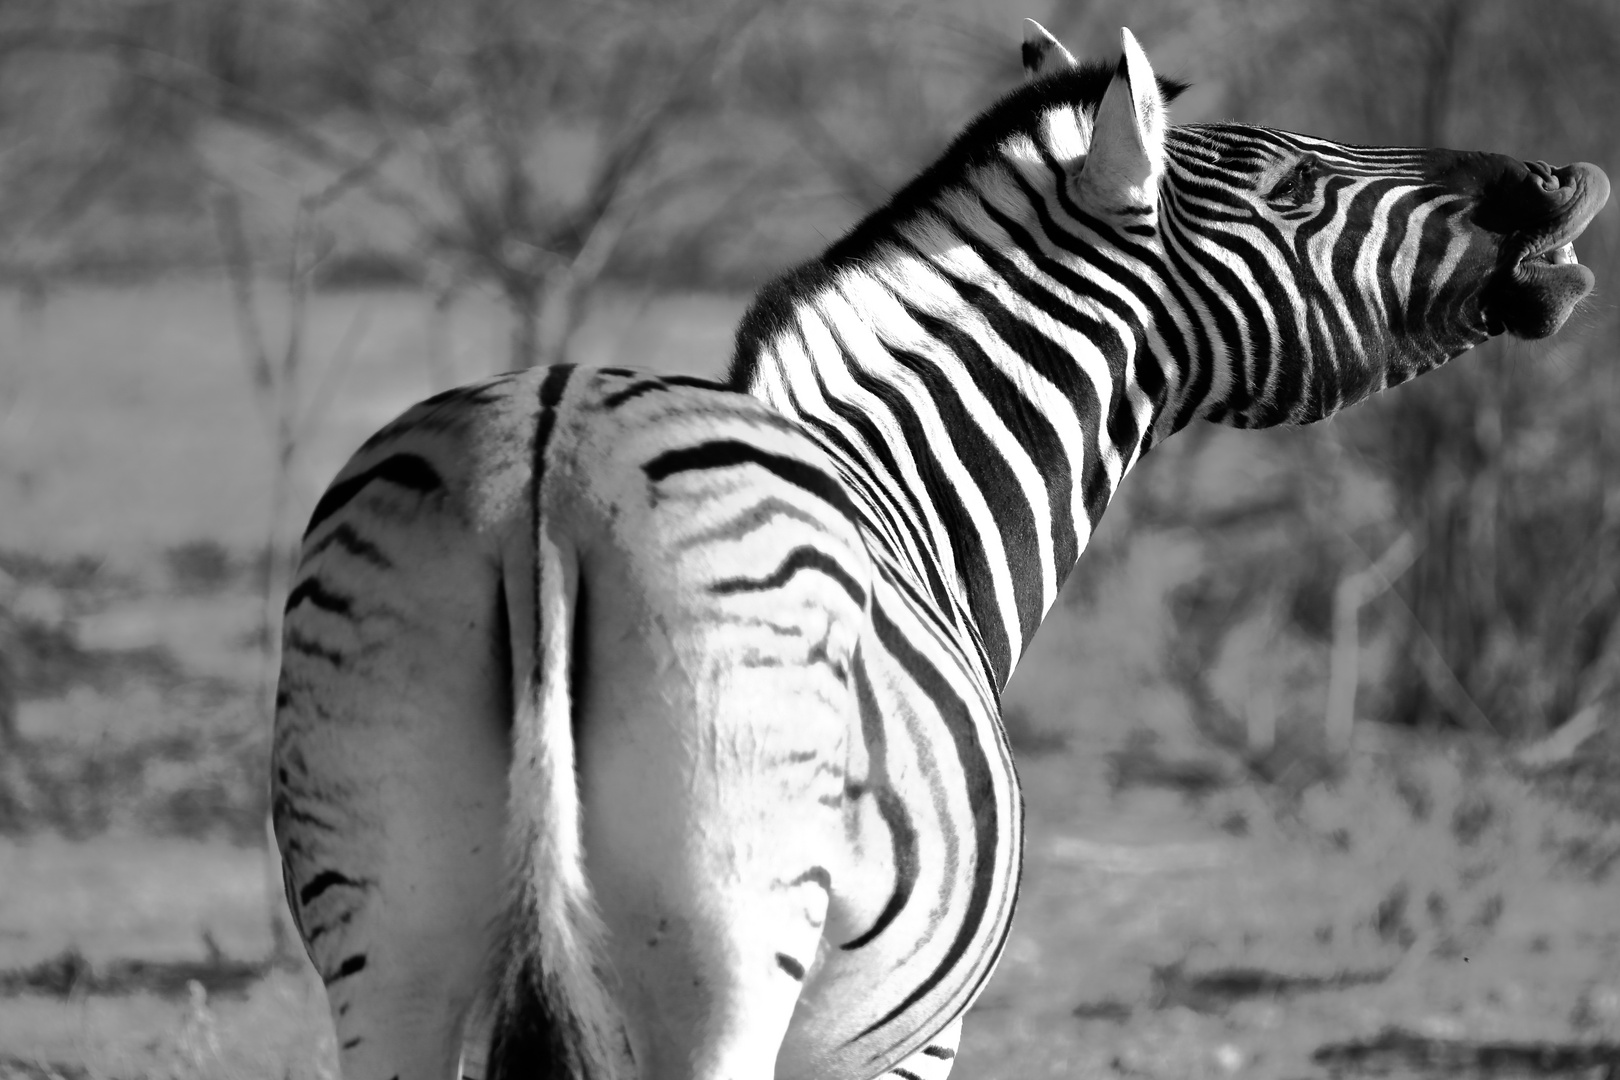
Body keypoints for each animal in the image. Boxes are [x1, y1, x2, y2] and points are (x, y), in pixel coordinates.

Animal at [268, 16, 1607, 1080]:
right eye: (1288, 187)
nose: (1562, 176)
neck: (914, 486)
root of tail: (550, 465)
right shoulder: (911, 1041)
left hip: (390, 940)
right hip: (731, 945)